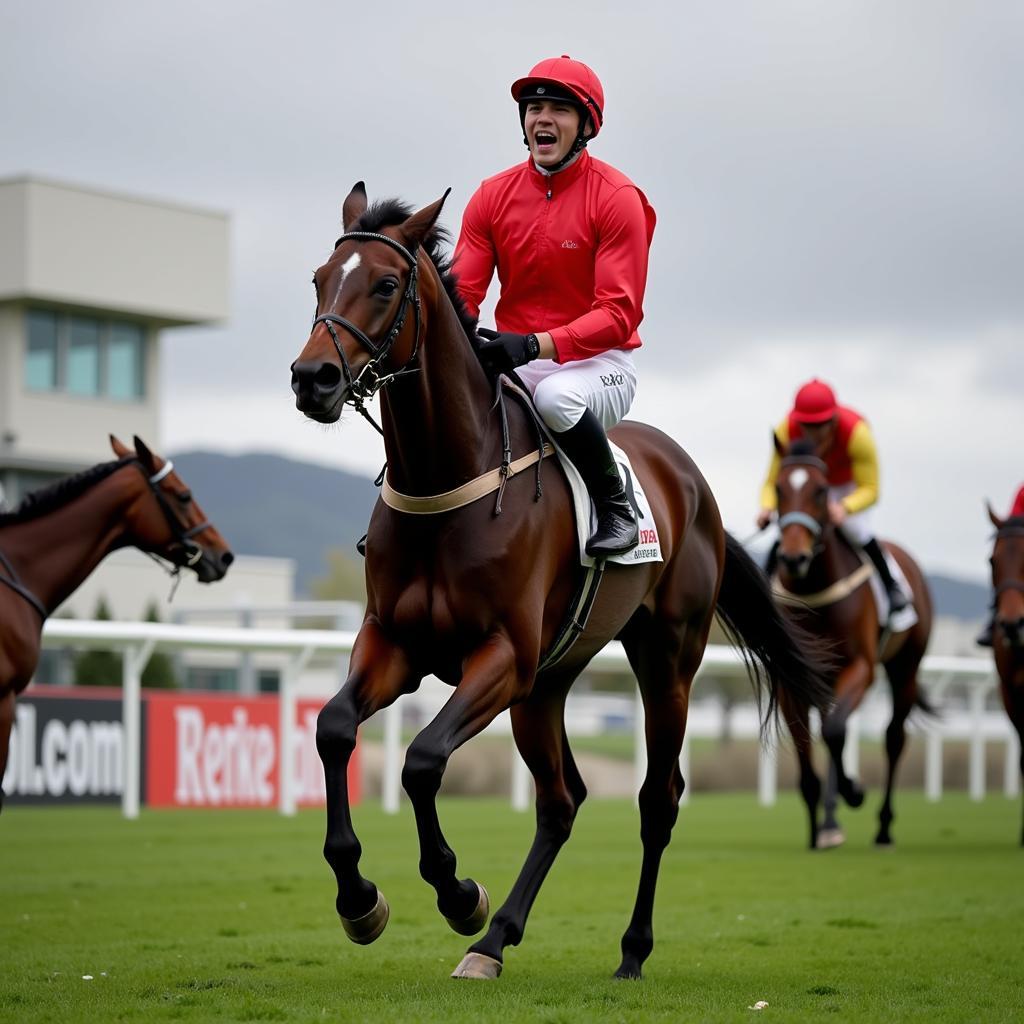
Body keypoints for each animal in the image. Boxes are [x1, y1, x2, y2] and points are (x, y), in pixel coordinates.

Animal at [288, 186, 831, 983]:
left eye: (385, 285)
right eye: (320, 279)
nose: (313, 379)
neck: (447, 482)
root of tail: (693, 482)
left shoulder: (502, 657)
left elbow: (422, 761)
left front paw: (458, 893)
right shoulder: (395, 644)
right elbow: (332, 729)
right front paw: (360, 900)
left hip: (665, 660)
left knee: (657, 799)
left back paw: (628, 949)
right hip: (548, 683)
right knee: (562, 799)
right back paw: (493, 942)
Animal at [770, 438, 933, 847]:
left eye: (821, 490)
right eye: (778, 488)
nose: (793, 557)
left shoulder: (861, 667)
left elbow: (834, 731)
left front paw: (855, 790)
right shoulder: (793, 678)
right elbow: (808, 746)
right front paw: (816, 829)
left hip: (905, 667)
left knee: (893, 738)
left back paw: (884, 827)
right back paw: (830, 823)